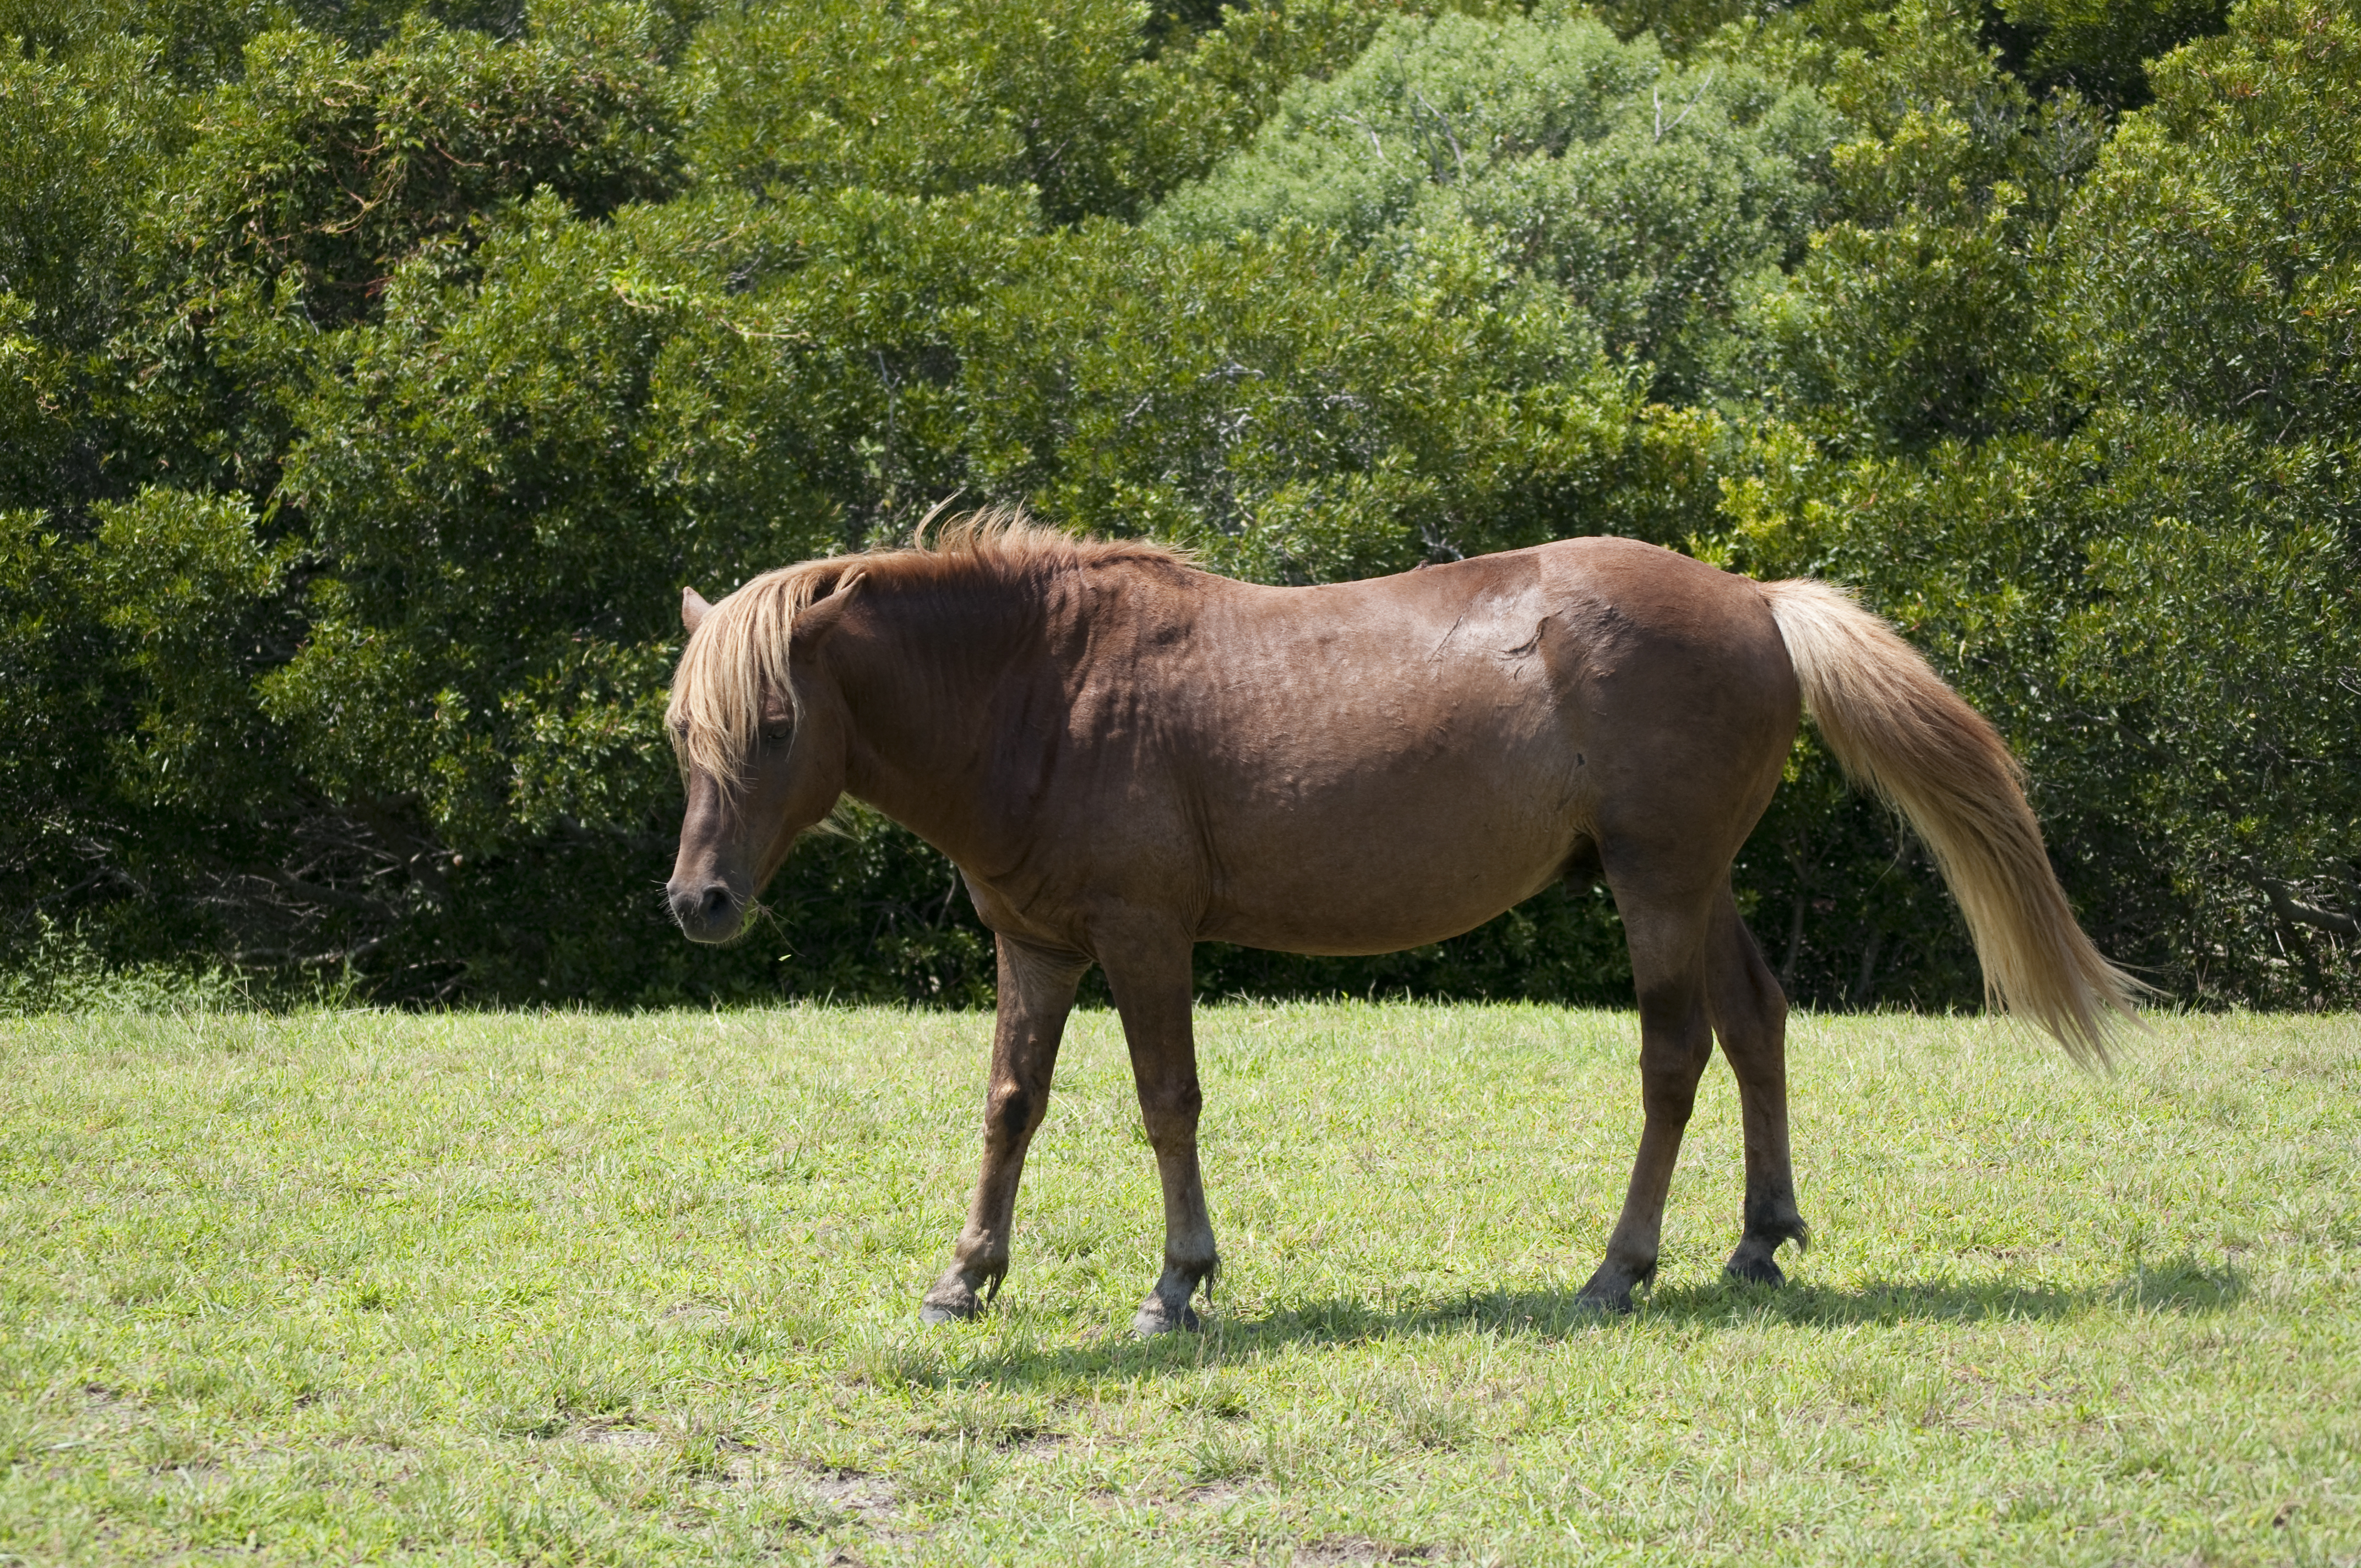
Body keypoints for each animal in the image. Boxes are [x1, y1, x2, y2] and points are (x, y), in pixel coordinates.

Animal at [663, 517, 2138, 1332]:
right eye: (684, 728)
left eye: (775, 722)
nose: (698, 901)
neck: (1049, 685)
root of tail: (1757, 602)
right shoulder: (1035, 947)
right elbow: (1009, 1105)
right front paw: (965, 1275)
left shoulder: (1144, 939)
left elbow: (1164, 1102)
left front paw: (1176, 1282)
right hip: (1691, 880)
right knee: (1755, 1022)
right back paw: (1756, 1239)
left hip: (1656, 886)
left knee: (1673, 1056)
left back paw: (1619, 1267)